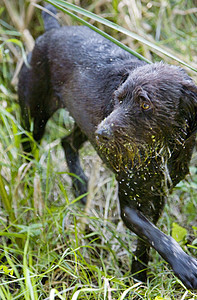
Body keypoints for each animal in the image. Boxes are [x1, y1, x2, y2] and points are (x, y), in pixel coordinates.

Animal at [18, 4, 197, 288]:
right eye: (118, 98)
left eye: (145, 103)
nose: (103, 133)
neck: (161, 150)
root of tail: (52, 31)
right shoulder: (128, 203)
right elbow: (158, 236)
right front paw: (186, 267)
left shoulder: (157, 196)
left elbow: (146, 242)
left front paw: (138, 278)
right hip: (35, 120)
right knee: (28, 157)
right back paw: (26, 192)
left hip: (83, 125)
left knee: (66, 142)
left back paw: (81, 187)